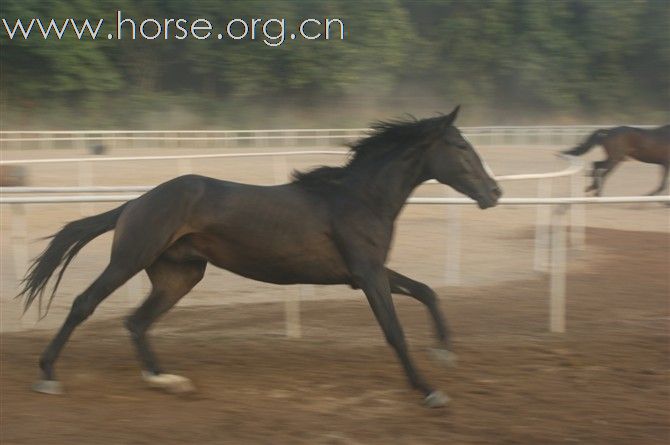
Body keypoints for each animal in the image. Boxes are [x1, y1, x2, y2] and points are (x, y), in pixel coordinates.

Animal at [18, 106, 502, 406]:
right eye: (461, 147)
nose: (494, 192)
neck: (359, 197)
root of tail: (135, 202)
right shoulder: (367, 274)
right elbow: (395, 332)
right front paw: (429, 390)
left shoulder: (365, 271)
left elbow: (426, 290)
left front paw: (445, 353)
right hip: (130, 259)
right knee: (85, 304)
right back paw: (47, 375)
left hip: (179, 275)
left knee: (137, 321)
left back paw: (167, 380)